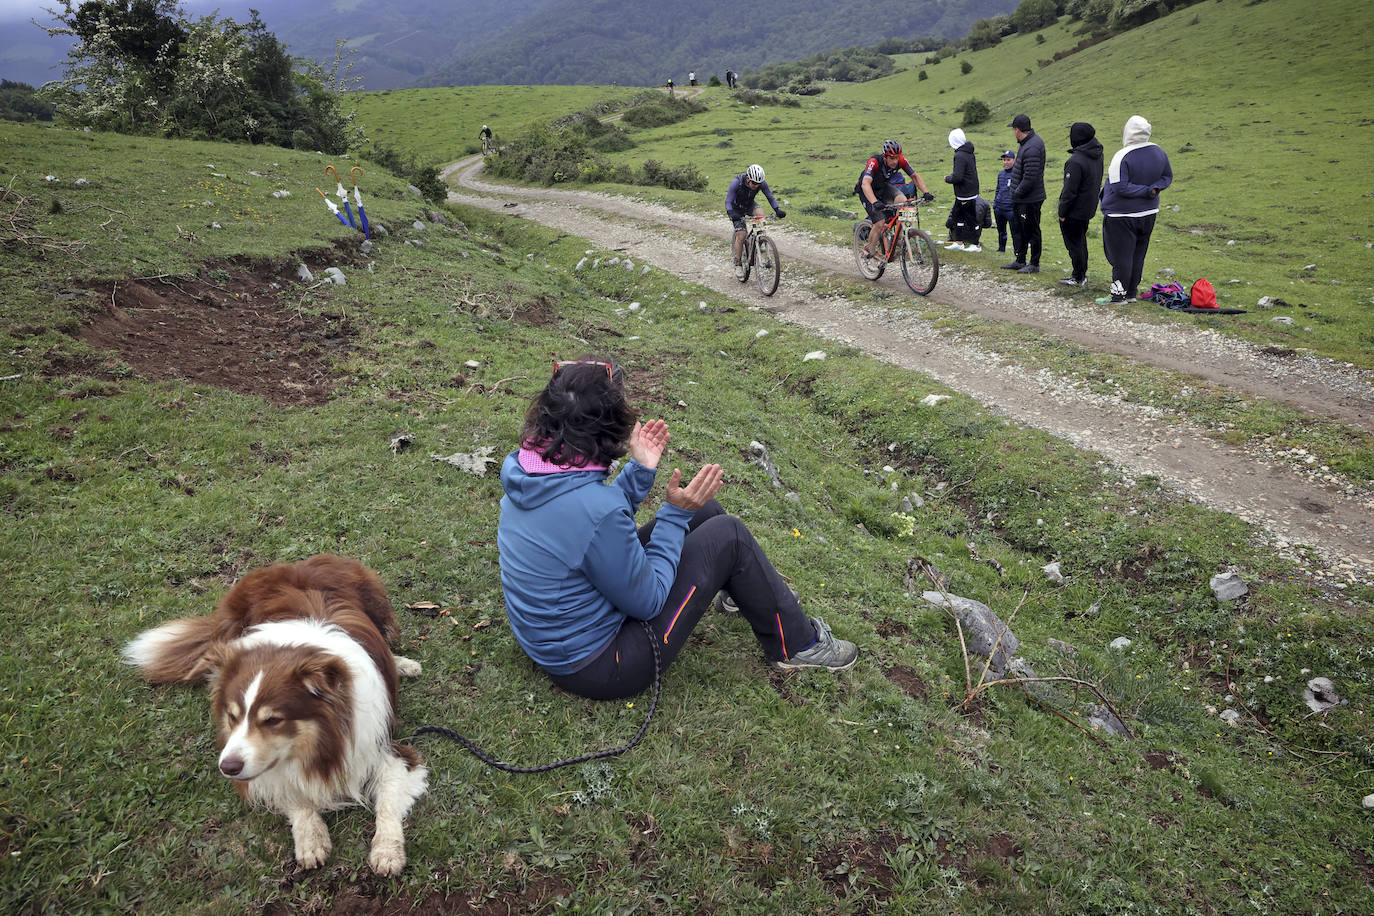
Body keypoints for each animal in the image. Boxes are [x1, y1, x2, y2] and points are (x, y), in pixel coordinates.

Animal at [122, 554, 428, 878]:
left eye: (272, 720)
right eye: (232, 716)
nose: (227, 767)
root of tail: (295, 563)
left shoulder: (386, 748)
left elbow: (388, 805)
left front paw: (387, 851)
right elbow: (289, 792)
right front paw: (310, 836)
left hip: (375, 600)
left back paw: (402, 664)